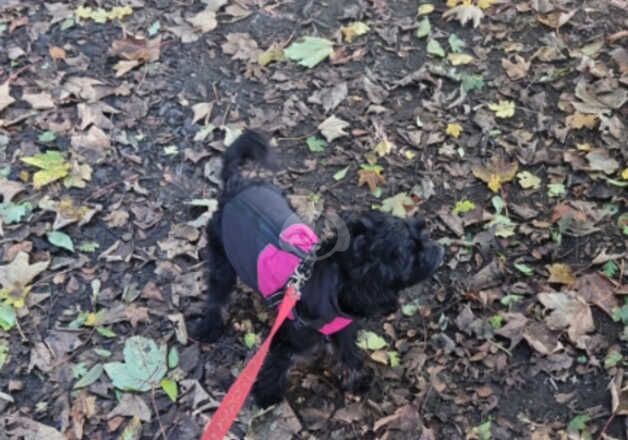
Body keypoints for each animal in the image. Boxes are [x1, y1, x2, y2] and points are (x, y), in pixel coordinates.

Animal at [194, 131, 444, 410]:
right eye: (412, 255)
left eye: (422, 233)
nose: (437, 249)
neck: (336, 284)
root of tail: (235, 186)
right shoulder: (290, 337)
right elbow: (275, 365)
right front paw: (266, 394)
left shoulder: (343, 328)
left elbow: (348, 354)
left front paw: (355, 380)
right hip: (222, 259)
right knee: (217, 294)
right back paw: (210, 325)